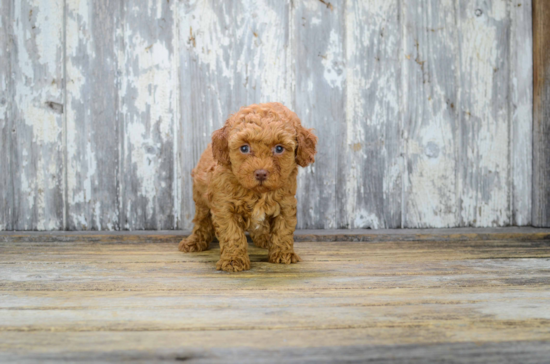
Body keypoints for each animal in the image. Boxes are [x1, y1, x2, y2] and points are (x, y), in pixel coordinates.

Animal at [180, 101, 320, 270]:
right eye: (244, 148)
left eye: (279, 148)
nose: (261, 173)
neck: (257, 193)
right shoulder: (224, 207)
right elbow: (232, 234)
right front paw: (233, 260)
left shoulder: (286, 204)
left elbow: (283, 230)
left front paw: (283, 254)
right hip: (201, 199)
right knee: (202, 222)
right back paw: (193, 242)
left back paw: (264, 238)